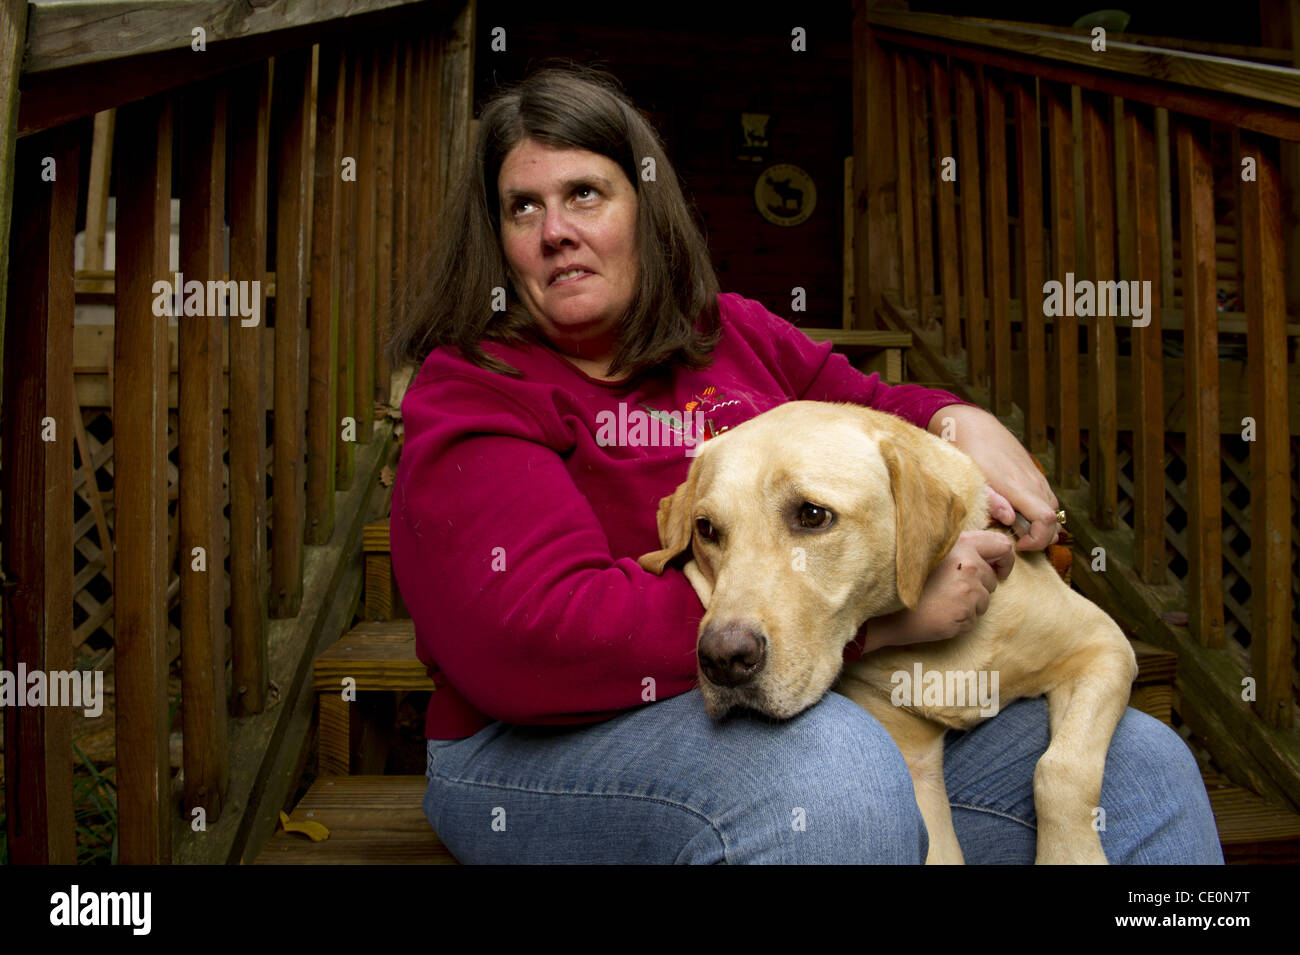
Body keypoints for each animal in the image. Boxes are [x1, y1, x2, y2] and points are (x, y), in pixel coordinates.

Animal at [639, 400, 1138, 862]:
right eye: (706, 529)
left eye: (813, 515)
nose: (723, 660)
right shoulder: (914, 767)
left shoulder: (1104, 647)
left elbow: (1061, 769)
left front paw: (1071, 855)